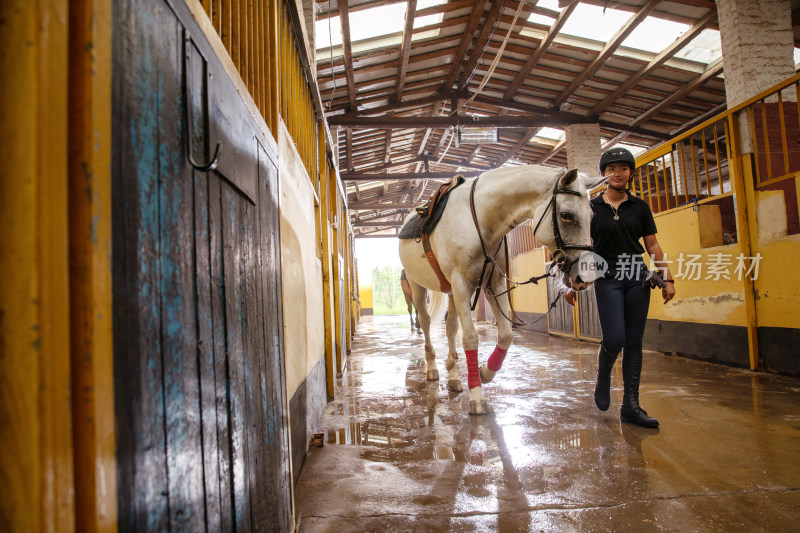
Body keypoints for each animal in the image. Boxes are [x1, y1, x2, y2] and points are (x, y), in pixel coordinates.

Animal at [400, 164, 608, 414]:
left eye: (591, 216)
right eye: (566, 215)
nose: (583, 277)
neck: (480, 220)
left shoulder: (493, 283)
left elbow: (506, 335)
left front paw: (485, 372)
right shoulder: (462, 284)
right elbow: (470, 338)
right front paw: (477, 396)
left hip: (450, 291)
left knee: (450, 328)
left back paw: (454, 377)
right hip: (417, 286)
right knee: (426, 321)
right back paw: (431, 368)